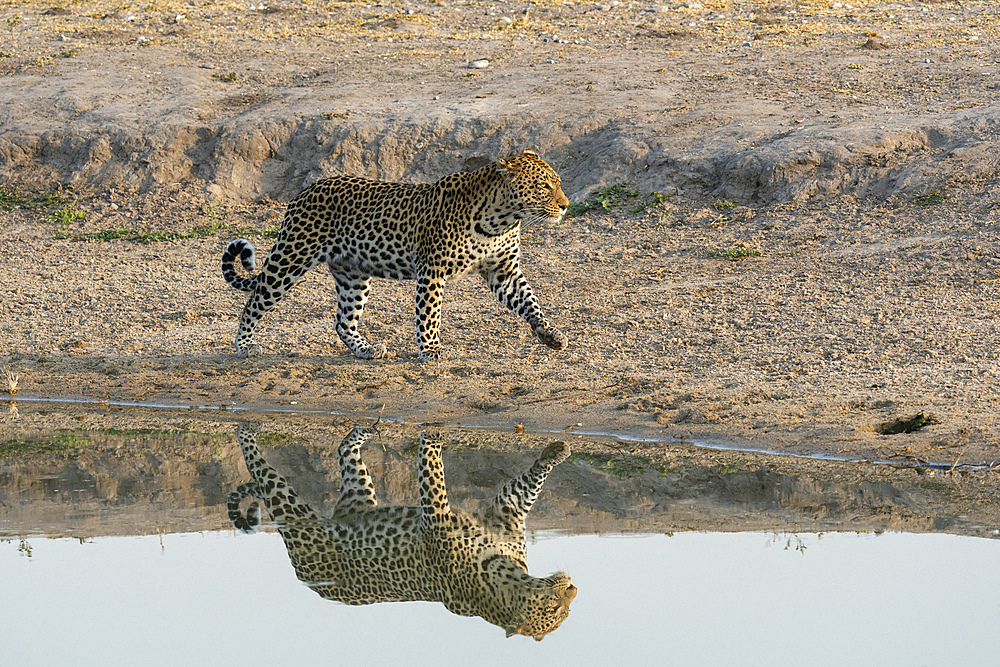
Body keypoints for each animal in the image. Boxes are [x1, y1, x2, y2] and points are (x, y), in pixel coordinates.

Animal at [224, 151, 576, 362]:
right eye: (545, 186)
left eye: (558, 183)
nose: (566, 205)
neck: (501, 219)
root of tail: (304, 191)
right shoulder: (432, 270)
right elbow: (429, 314)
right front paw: (432, 350)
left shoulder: (503, 271)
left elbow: (530, 302)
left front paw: (551, 335)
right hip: (291, 258)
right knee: (255, 299)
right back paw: (245, 345)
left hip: (353, 274)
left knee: (342, 321)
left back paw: (366, 350)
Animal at [224, 422, 576, 640]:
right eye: (555, 610)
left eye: (565, 614)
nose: (574, 589)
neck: (507, 575)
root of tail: (311, 582)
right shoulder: (447, 516)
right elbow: (435, 471)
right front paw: (432, 435)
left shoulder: (505, 514)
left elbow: (527, 485)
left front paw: (555, 451)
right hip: (290, 507)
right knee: (259, 466)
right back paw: (247, 428)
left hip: (359, 495)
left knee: (343, 450)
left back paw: (363, 431)